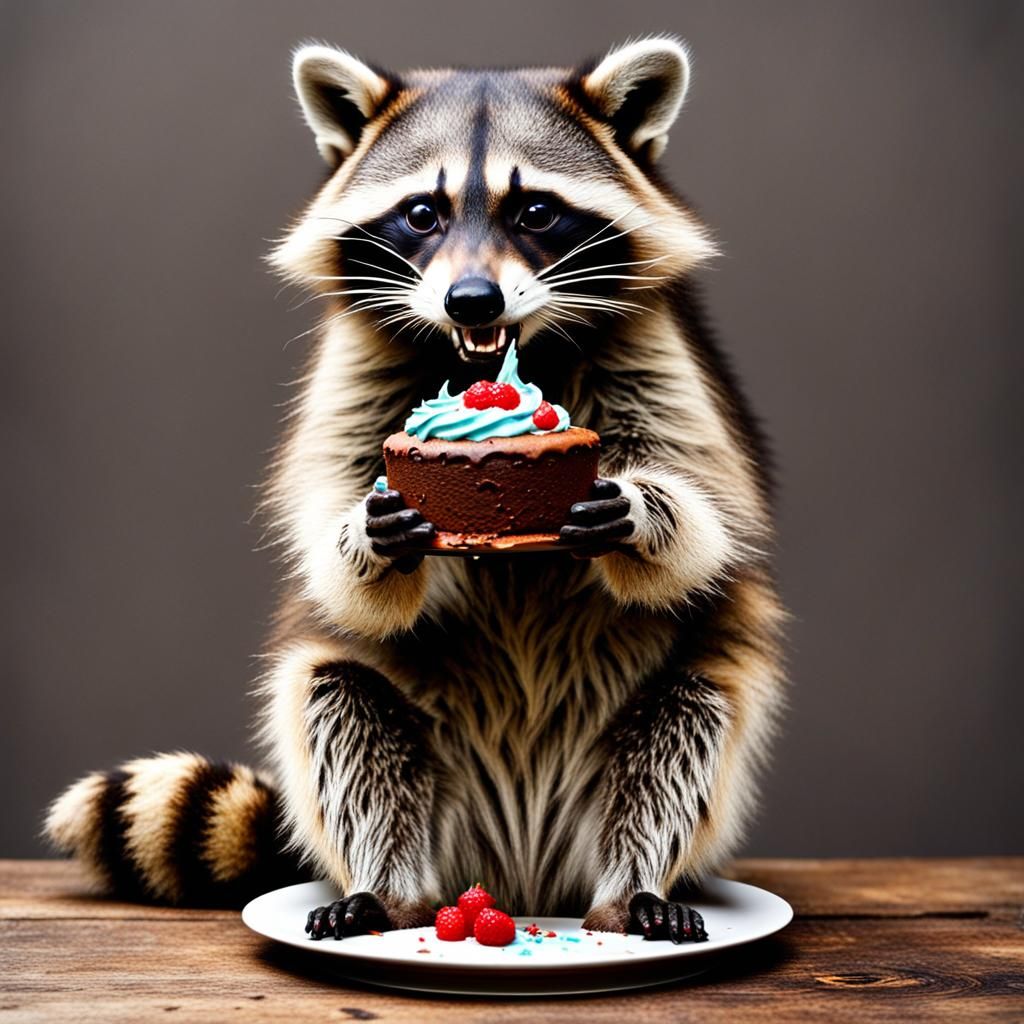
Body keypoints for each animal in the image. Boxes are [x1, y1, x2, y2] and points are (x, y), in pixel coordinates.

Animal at [47, 38, 785, 941]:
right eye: (422, 214)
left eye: (535, 212)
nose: (472, 300)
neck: (490, 357)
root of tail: (524, 878)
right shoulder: (355, 372)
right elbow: (329, 516)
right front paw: (368, 538)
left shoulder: (658, 355)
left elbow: (712, 500)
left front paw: (641, 513)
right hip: (408, 769)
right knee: (346, 721)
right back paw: (385, 888)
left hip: (659, 735)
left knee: (680, 737)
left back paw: (633, 888)